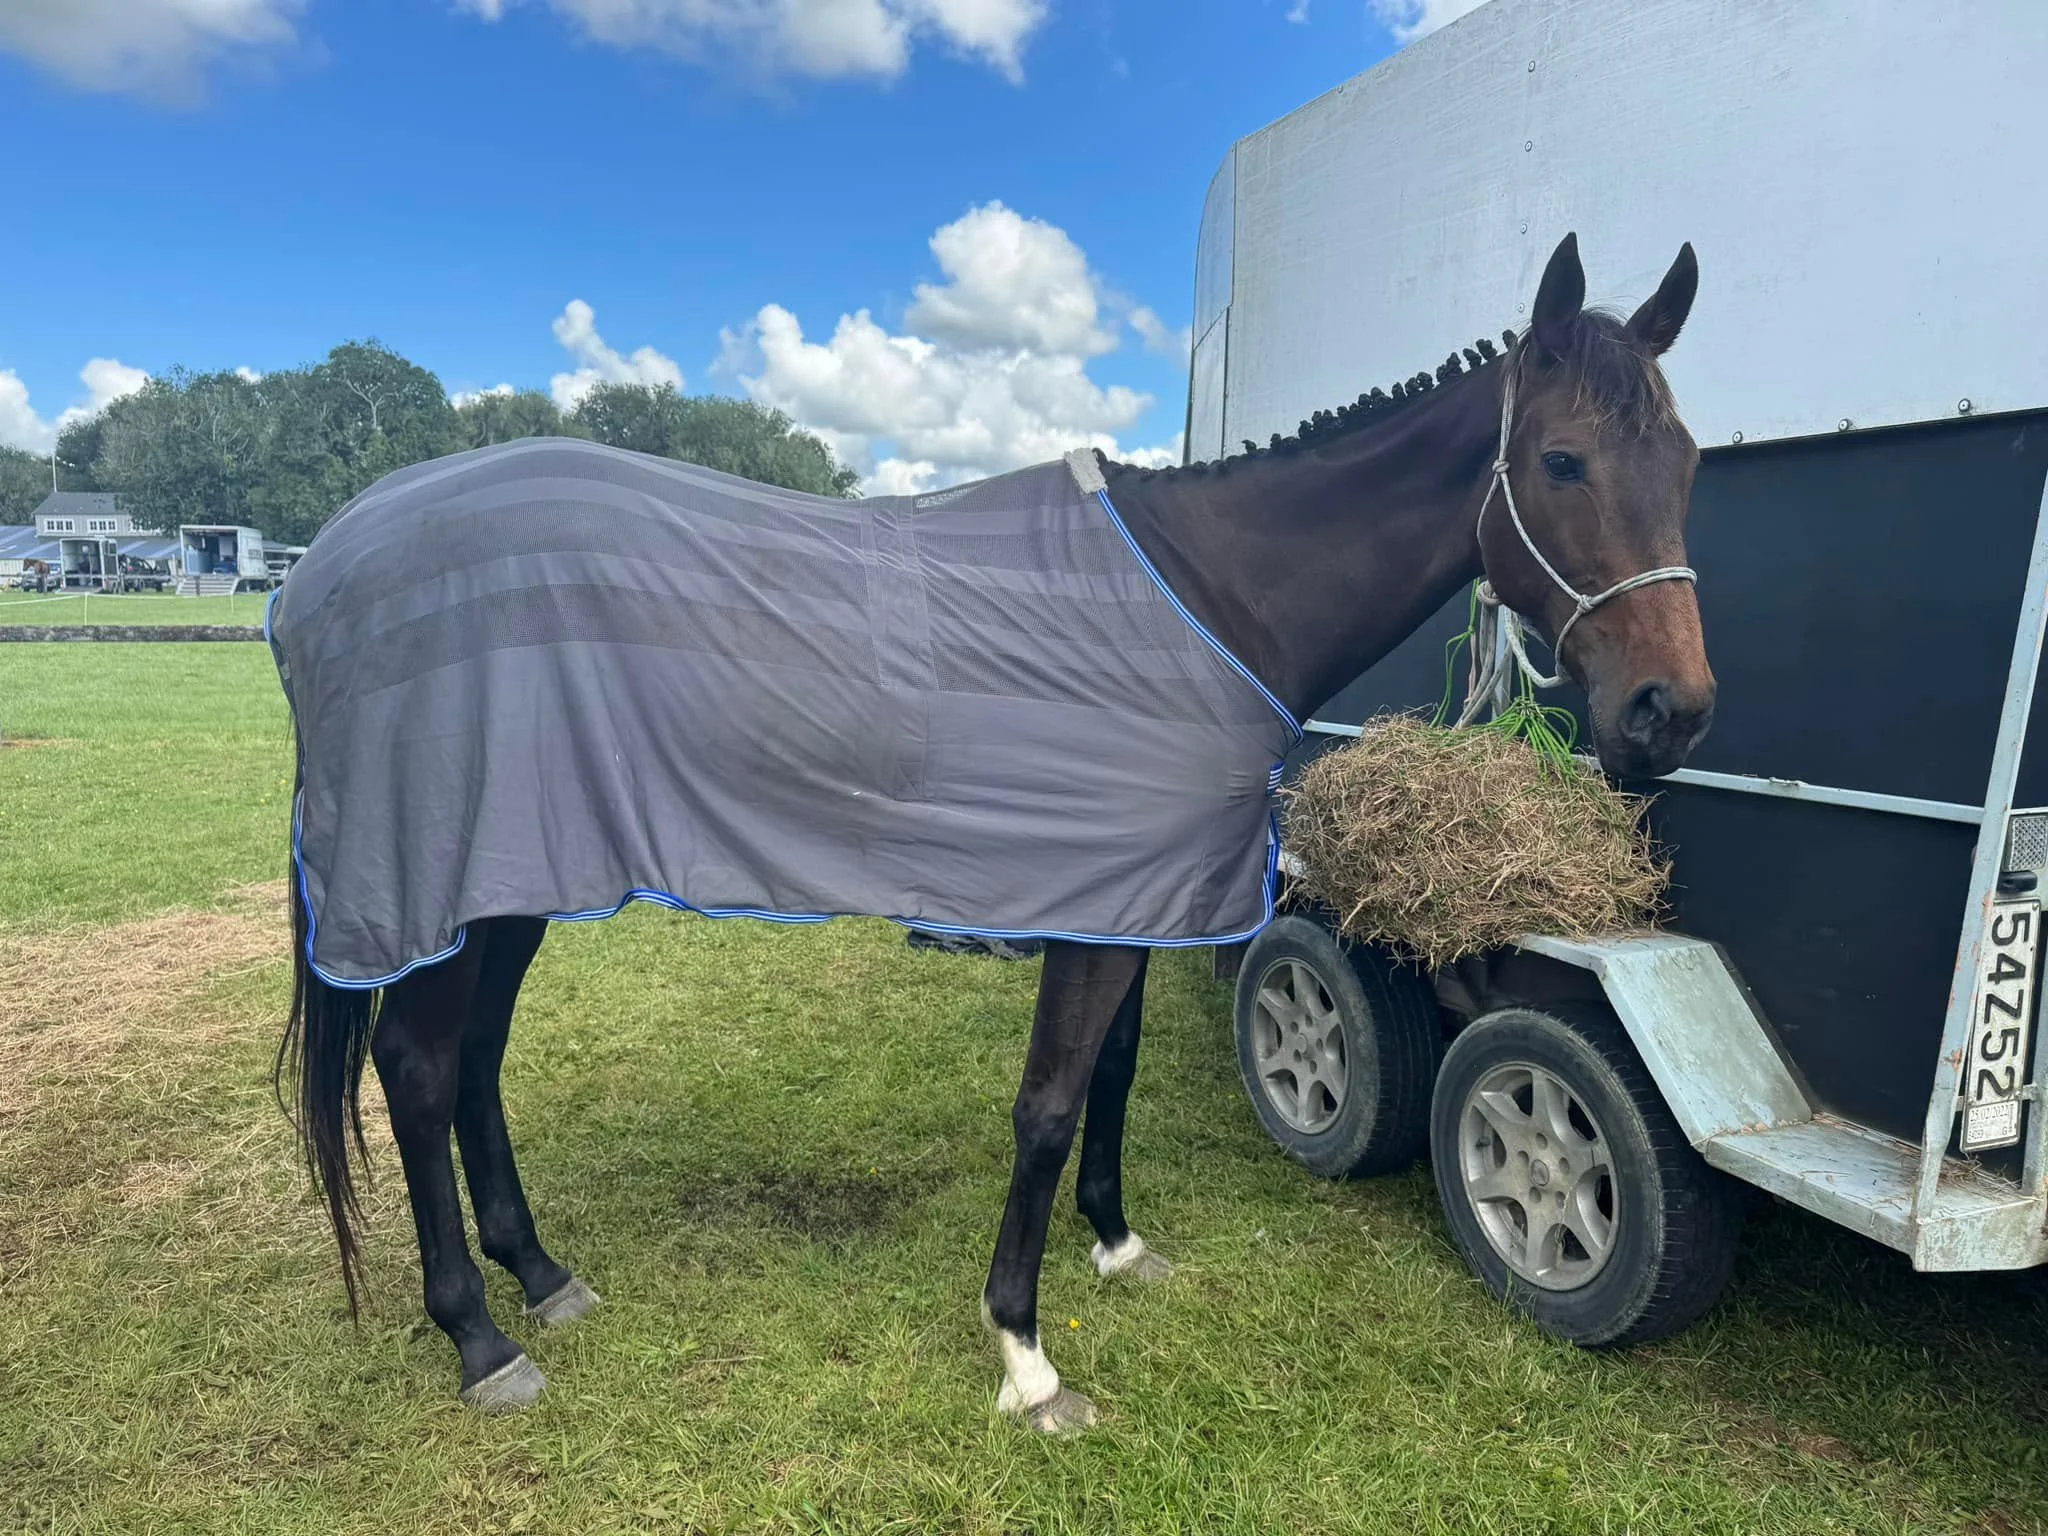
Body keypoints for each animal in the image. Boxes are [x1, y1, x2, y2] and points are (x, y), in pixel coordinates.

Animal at [273, 233, 1712, 1431]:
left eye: (1688, 464)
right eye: (1561, 461)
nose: (1670, 710)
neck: (1210, 597)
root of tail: (319, 572)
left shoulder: (1134, 899)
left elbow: (1108, 1081)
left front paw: (1117, 1246)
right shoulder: (1096, 908)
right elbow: (1049, 1104)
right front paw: (1024, 1356)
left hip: (512, 881)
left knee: (473, 1062)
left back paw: (540, 1272)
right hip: (445, 880)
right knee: (416, 1068)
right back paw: (479, 1338)